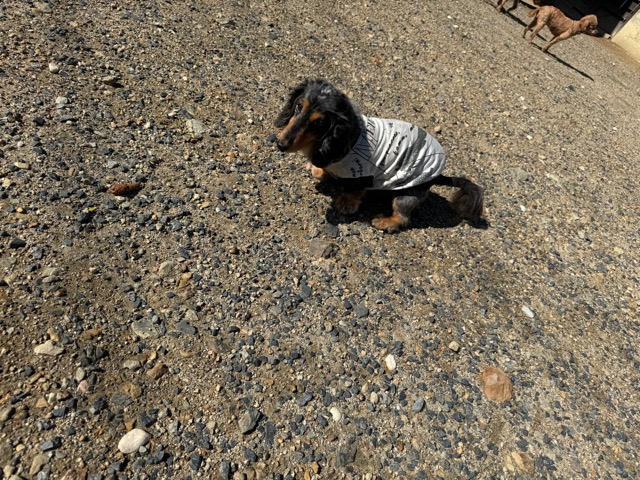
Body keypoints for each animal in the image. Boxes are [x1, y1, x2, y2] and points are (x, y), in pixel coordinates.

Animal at [274, 79, 484, 233]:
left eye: (318, 123)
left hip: (406, 194)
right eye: (298, 106)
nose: (280, 144)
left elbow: (353, 193)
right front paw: (319, 170)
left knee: (403, 217)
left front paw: (345, 204)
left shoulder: (362, 176)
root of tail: (439, 175)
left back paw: (385, 223)